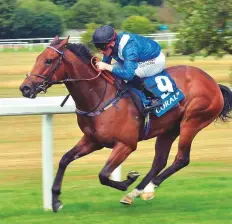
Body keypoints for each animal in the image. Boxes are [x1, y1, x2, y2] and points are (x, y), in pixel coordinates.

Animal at [19, 36, 232, 212]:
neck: (100, 96)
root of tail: (214, 83)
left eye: (48, 60)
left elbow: (103, 174)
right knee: (159, 161)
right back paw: (135, 193)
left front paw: (127, 179)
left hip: (192, 121)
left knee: (181, 159)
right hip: (169, 129)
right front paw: (55, 200)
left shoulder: (126, 144)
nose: (25, 88)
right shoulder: (93, 140)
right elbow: (65, 159)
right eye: (38, 57)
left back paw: (148, 189)